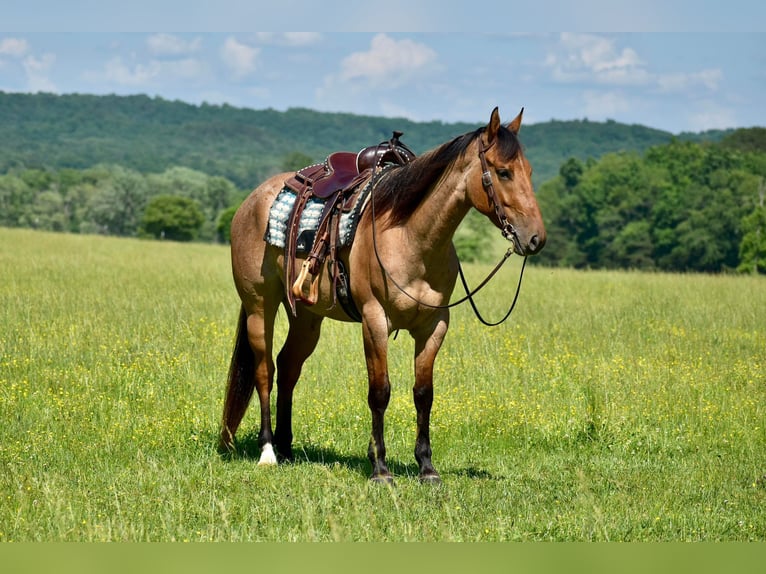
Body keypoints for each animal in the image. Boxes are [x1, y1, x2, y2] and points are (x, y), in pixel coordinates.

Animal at [219, 106, 548, 484]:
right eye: (503, 172)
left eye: (529, 171)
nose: (536, 238)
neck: (409, 236)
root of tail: (252, 200)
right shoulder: (374, 321)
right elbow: (379, 392)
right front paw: (379, 468)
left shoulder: (434, 326)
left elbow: (423, 394)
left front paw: (426, 467)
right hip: (260, 306)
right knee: (265, 371)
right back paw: (269, 451)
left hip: (308, 318)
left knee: (288, 367)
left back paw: (287, 448)